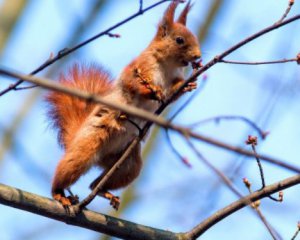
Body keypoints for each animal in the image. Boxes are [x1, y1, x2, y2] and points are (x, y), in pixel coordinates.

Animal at [46, 0, 202, 209]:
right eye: (179, 40)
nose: (197, 56)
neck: (167, 65)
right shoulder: (138, 67)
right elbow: (131, 84)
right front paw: (150, 90)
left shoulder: (174, 78)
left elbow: (172, 93)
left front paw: (187, 85)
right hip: (88, 145)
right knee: (71, 167)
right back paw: (59, 193)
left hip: (128, 164)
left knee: (95, 184)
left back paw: (104, 192)